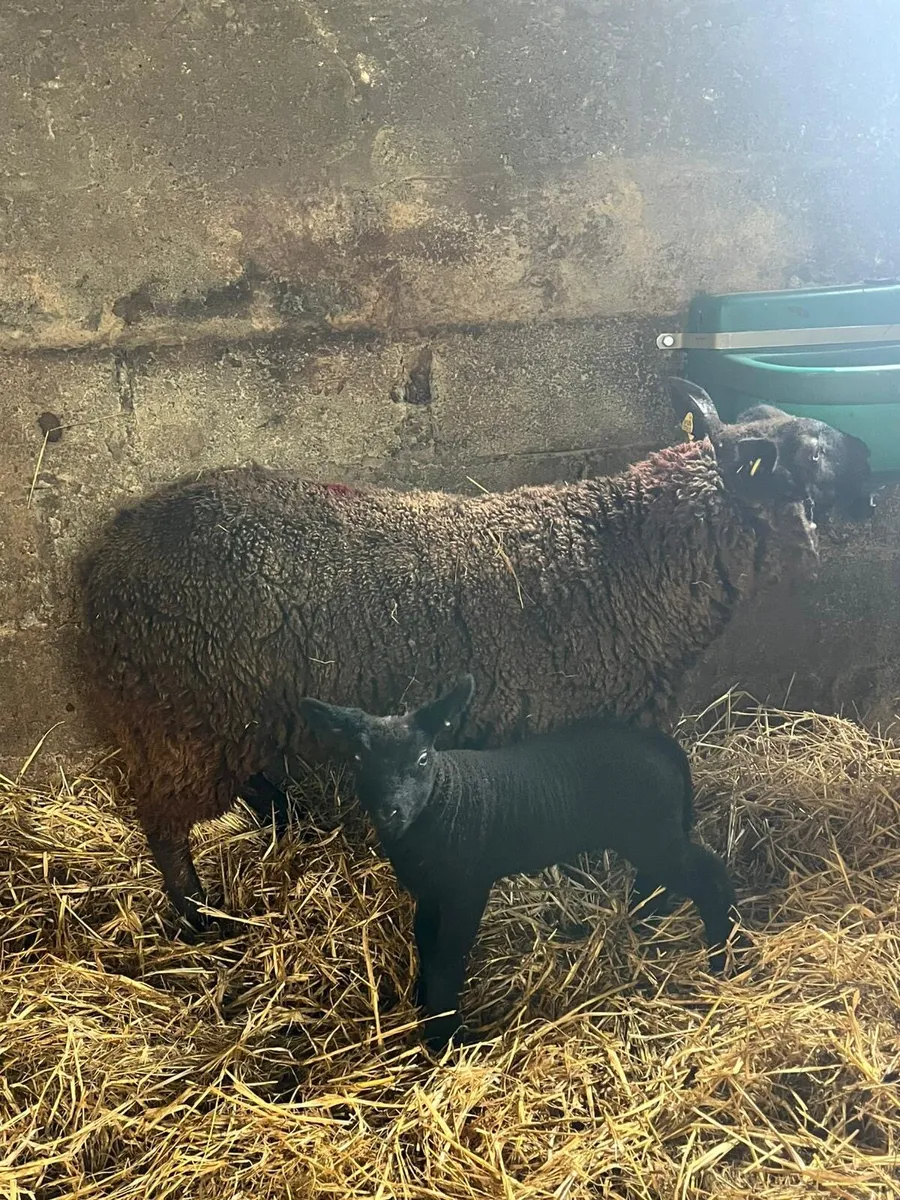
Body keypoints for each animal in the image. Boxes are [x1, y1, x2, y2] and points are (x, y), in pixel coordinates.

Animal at [77, 377, 874, 926]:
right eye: (811, 454)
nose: (871, 461)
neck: (621, 556)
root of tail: (110, 545)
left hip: (234, 710)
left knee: (247, 783)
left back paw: (284, 829)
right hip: (183, 711)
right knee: (164, 822)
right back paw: (198, 920)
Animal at [299, 673, 738, 1049]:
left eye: (423, 758)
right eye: (358, 759)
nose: (389, 812)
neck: (442, 799)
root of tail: (663, 745)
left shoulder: (467, 889)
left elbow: (449, 957)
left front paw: (445, 1035)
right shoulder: (430, 892)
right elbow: (426, 943)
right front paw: (425, 1007)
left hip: (654, 834)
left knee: (709, 876)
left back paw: (721, 956)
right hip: (652, 835)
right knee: (665, 878)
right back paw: (646, 923)